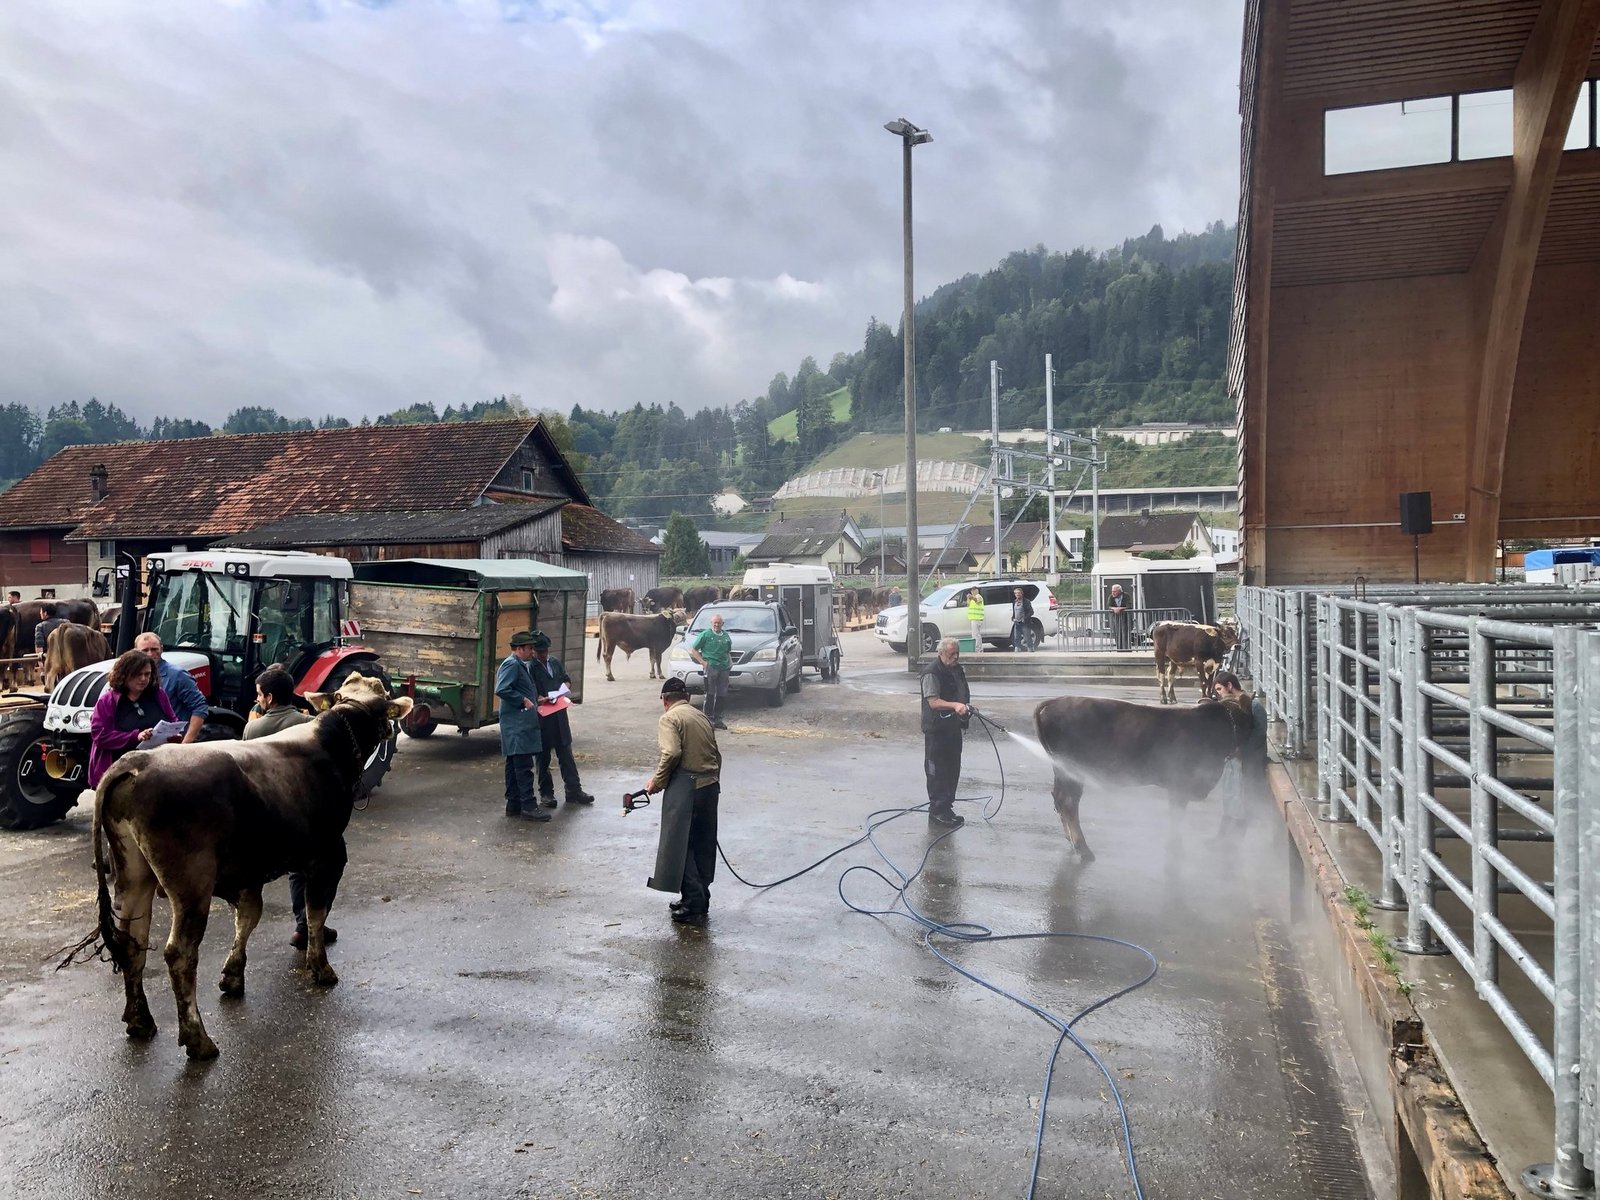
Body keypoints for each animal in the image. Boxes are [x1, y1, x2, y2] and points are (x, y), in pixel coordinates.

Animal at [70, 673, 411, 1060]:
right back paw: (198, 1039)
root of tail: (136, 761)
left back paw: (140, 1021)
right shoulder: (328, 855)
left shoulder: (250, 873)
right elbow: (315, 912)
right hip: (191, 883)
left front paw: (232, 976)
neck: (331, 741)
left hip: (133, 874)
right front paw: (320, 967)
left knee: (133, 942)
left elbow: (249, 916)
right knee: (179, 953)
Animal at [1033, 694, 1254, 861]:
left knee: (1060, 799)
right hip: (1072, 771)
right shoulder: (1179, 786)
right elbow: (1176, 816)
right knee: (1069, 801)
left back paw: (1071, 841)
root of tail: (1051, 702)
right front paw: (1175, 848)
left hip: (1062, 771)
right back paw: (1083, 849)